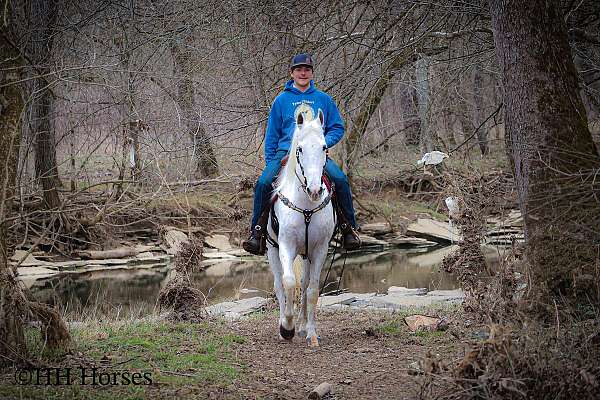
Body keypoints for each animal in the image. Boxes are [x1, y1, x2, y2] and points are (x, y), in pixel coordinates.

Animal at [264, 109, 336, 346]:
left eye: (324, 147)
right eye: (300, 149)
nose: (315, 190)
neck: (306, 205)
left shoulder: (320, 249)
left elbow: (312, 289)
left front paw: (311, 332)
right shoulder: (286, 246)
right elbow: (288, 283)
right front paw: (287, 327)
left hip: (306, 255)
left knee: (304, 284)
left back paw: (303, 325)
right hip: (272, 249)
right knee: (279, 285)